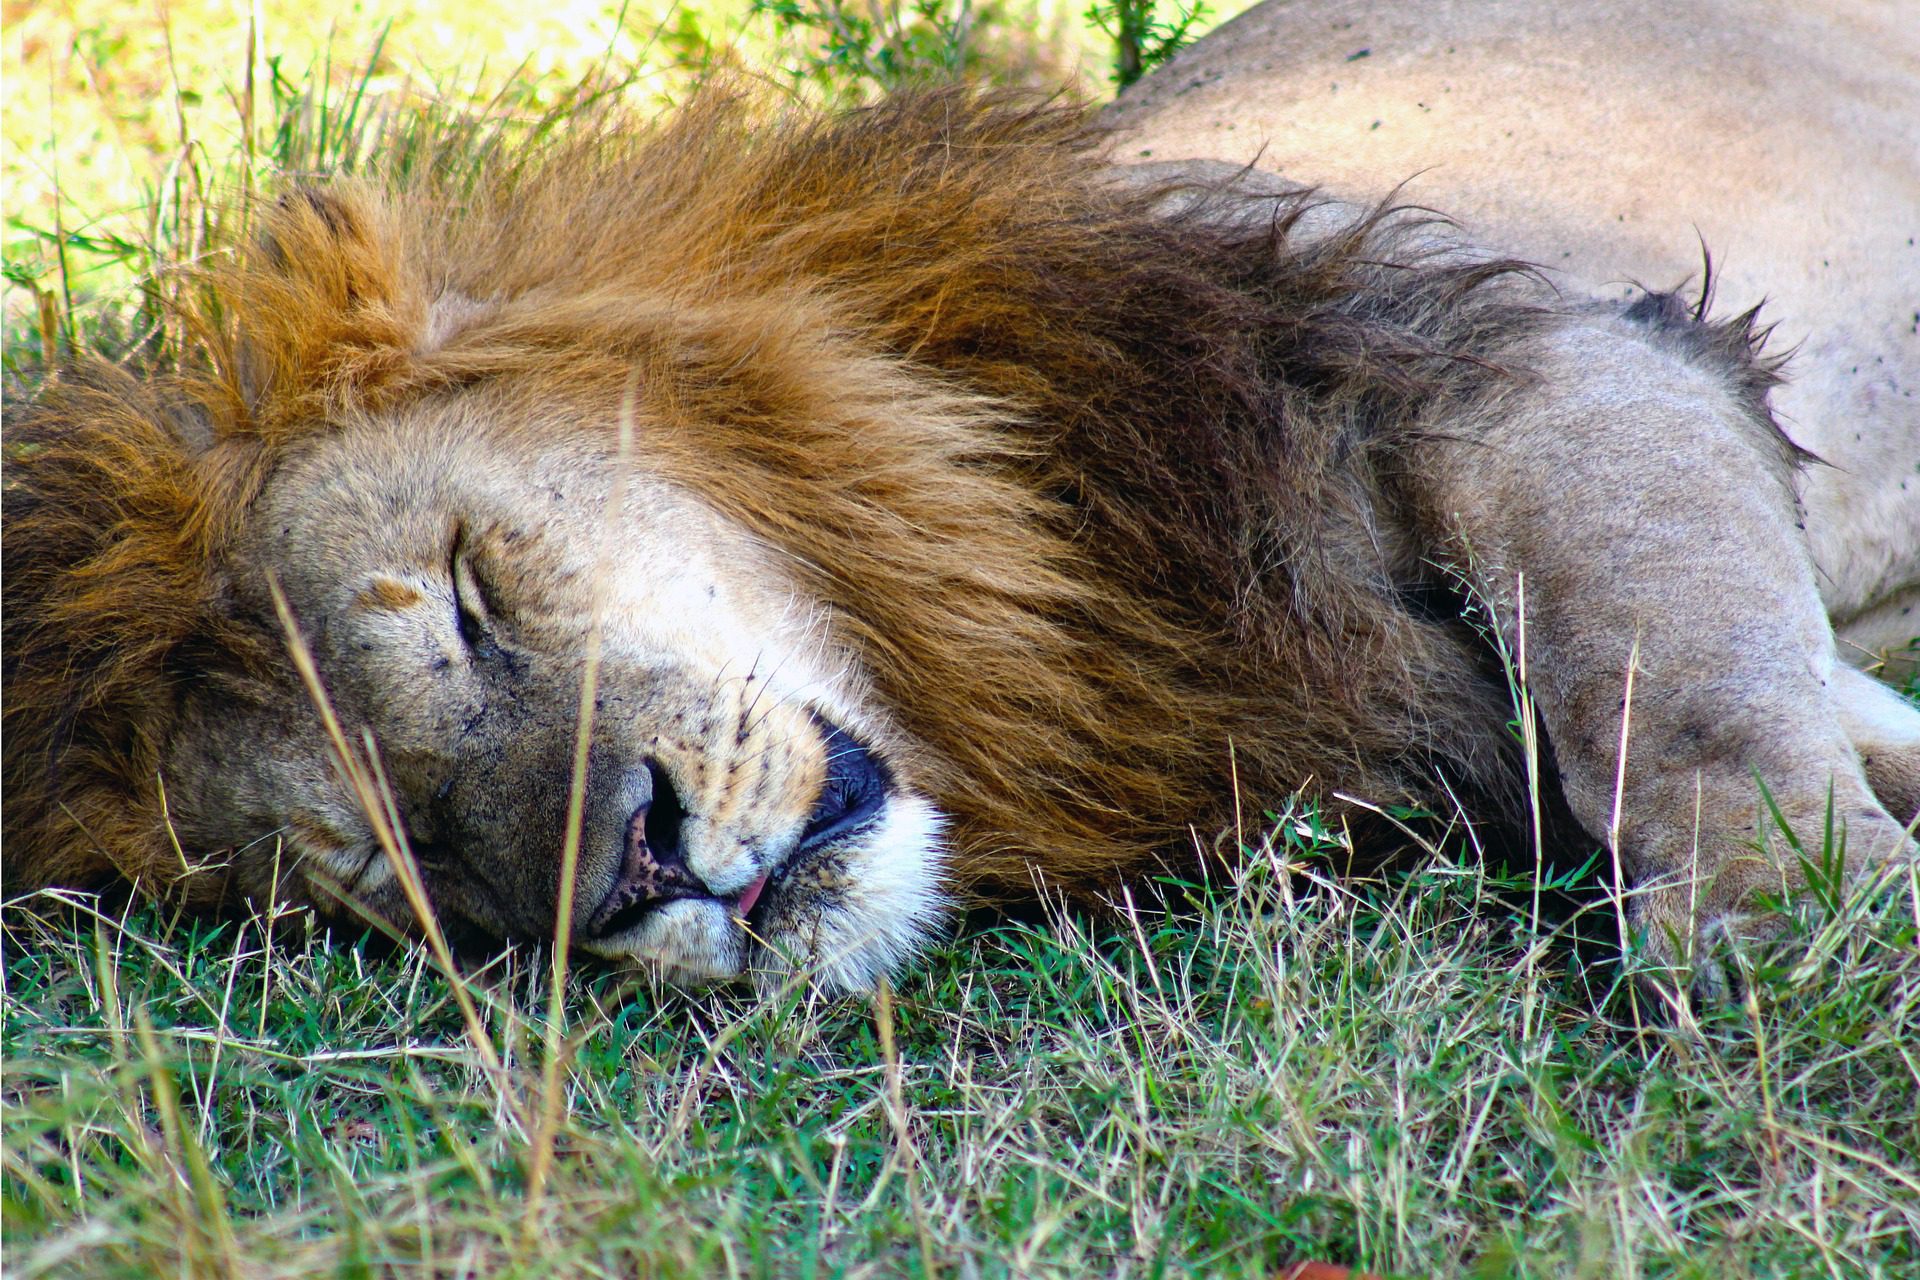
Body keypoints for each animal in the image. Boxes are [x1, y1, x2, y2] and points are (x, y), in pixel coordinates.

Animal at [7, 0, 1912, 997]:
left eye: (470, 596)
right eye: (399, 868)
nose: (636, 875)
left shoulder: (1540, 356)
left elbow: (1678, 672)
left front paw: (1793, 922)